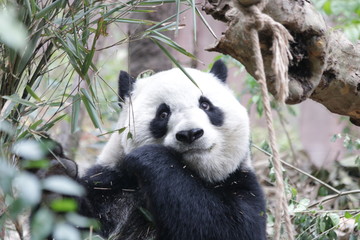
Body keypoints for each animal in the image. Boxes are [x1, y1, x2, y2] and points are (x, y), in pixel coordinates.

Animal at [77, 60, 266, 240]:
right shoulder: (111, 183)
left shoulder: (241, 183)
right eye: (163, 114)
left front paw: (149, 157)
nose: (190, 133)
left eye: (205, 105)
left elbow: (229, 226)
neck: (192, 173)